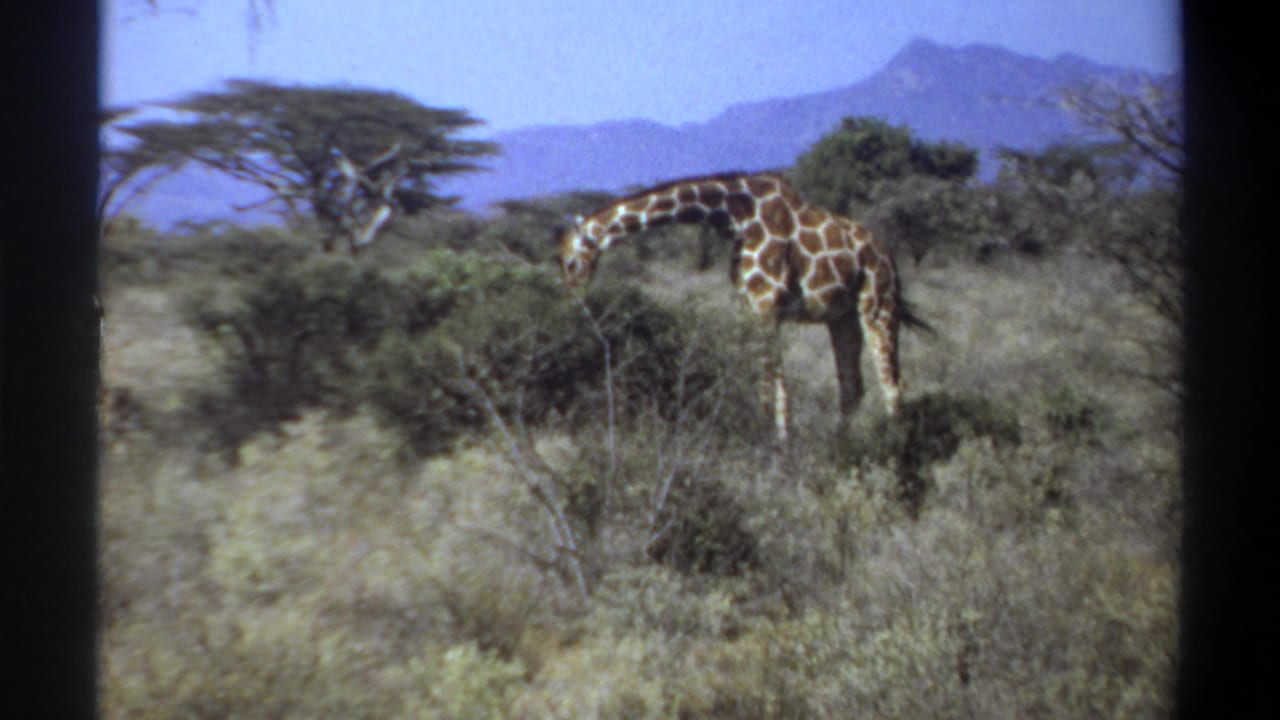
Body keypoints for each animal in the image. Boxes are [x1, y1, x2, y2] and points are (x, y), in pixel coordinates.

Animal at [557, 171, 912, 446]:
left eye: (572, 262)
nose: (572, 302)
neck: (735, 215)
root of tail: (889, 256)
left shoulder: (767, 305)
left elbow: (771, 385)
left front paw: (768, 443)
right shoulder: (751, 306)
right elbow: (776, 384)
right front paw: (779, 443)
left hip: (878, 305)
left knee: (893, 384)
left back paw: (895, 448)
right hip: (842, 318)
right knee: (852, 387)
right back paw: (842, 445)